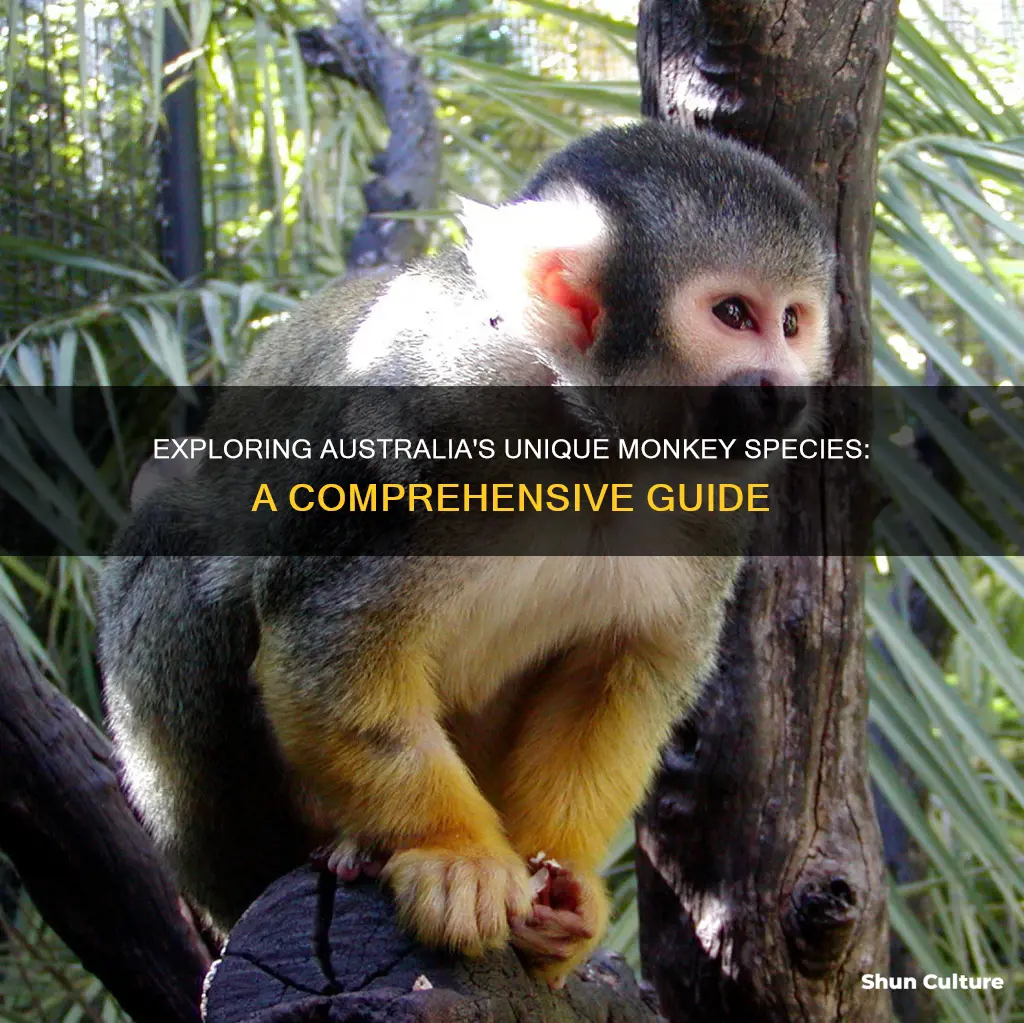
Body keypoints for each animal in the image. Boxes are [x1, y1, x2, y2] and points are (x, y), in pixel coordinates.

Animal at [97, 119, 835, 990]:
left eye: (793, 323)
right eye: (734, 314)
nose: (787, 390)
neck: (586, 438)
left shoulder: (715, 499)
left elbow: (620, 671)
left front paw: (564, 885)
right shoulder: (426, 411)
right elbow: (327, 642)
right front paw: (455, 854)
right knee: (176, 541)